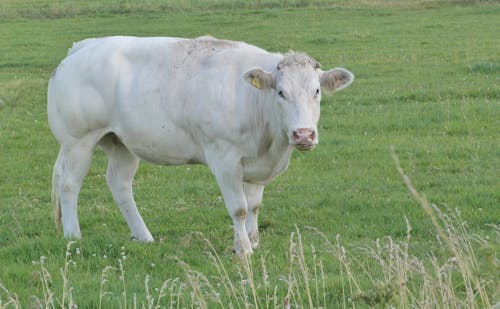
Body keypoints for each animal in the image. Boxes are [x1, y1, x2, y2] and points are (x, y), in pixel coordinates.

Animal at [47, 36, 352, 254]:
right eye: (281, 92)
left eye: (316, 91)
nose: (303, 134)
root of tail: (82, 46)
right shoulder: (224, 159)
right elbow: (239, 207)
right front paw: (243, 249)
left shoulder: (258, 164)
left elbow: (254, 206)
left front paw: (253, 240)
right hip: (78, 140)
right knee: (69, 184)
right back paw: (73, 235)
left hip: (122, 143)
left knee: (119, 185)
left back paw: (144, 236)